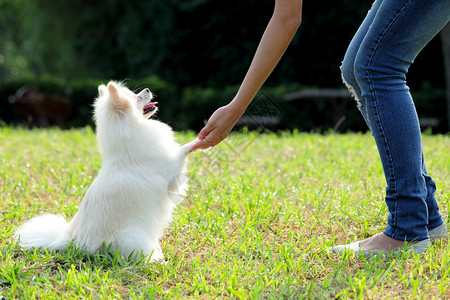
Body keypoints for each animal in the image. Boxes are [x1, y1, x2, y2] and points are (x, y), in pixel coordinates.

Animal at [14, 81, 192, 262]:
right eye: (136, 97)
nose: (148, 89)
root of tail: (72, 241)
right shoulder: (172, 173)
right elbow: (183, 150)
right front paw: (197, 142)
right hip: (133, 238)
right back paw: (157, 262)